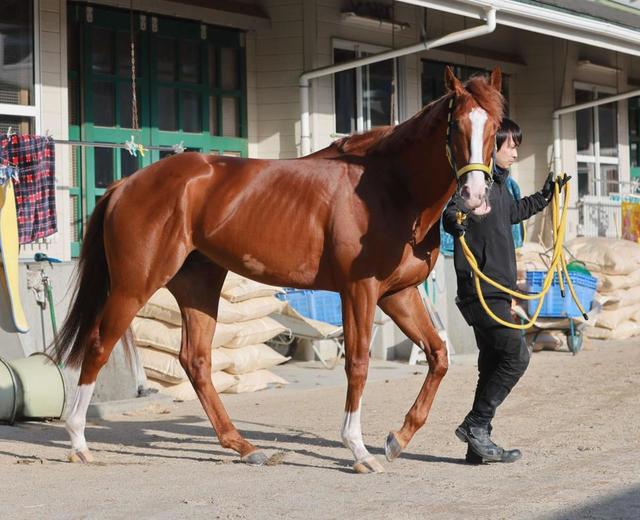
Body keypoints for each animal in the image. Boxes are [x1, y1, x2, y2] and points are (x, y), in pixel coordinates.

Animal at [55, 66, 502, 472]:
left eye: (496, 128)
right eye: (456, 127)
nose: (474, 195)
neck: (389, 188)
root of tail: (124, 185)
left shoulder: (398, 294)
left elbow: (438, 355)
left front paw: (398, 439)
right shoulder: (359, 291)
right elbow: (358, 363)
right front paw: (358, 450)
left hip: (199, 285)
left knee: (196, 360)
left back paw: (244, 447)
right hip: (134, 285)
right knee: (98, 345)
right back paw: (78, 442)